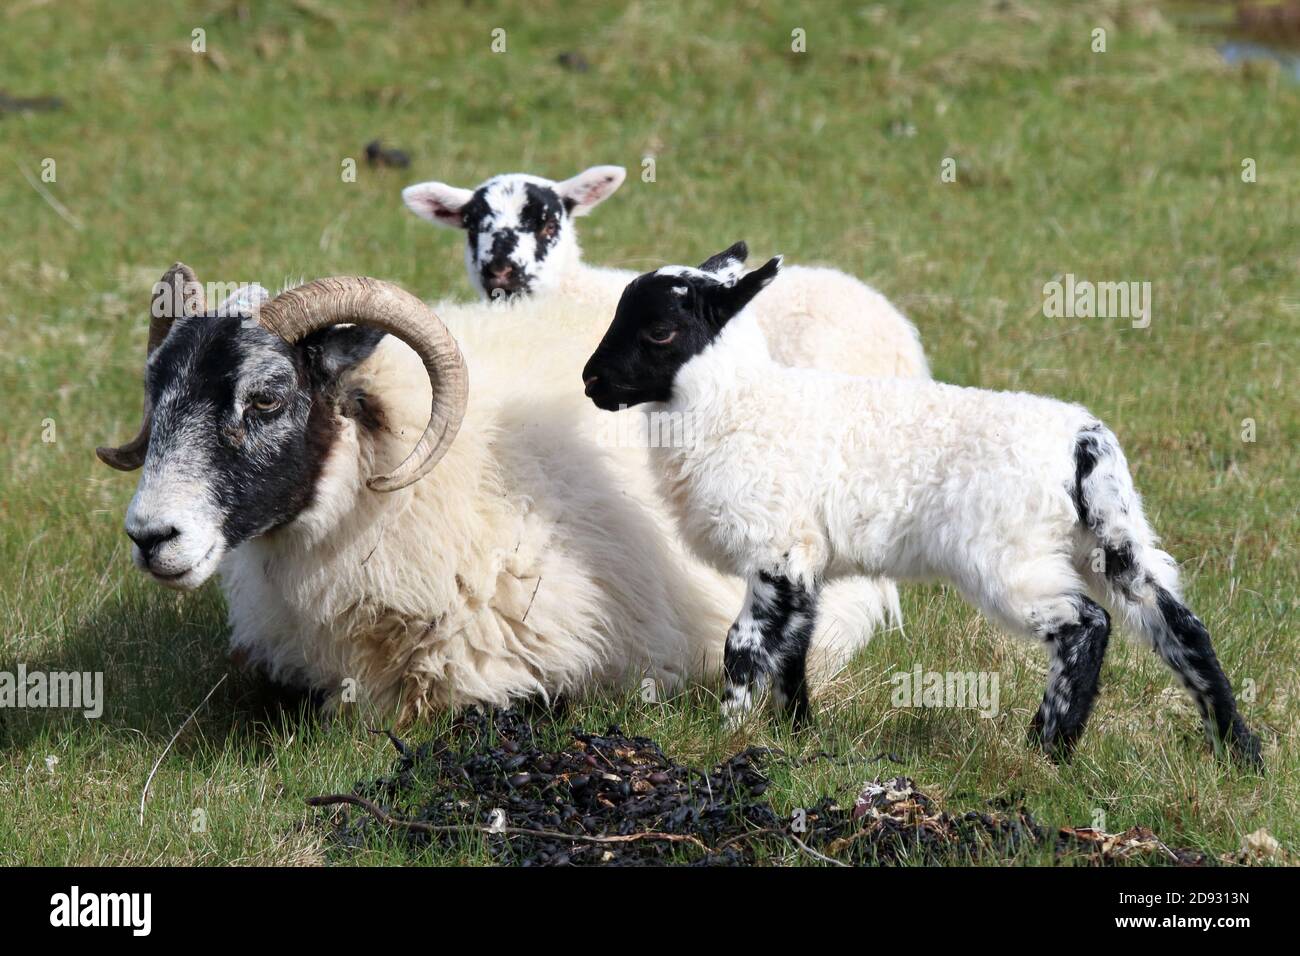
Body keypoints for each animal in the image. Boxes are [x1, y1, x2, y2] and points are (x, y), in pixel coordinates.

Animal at [580, 246, 1263, 768]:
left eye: (660, 331)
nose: (590, 383)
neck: (739, 406)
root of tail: (1083, 444)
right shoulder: (806, 561)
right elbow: (796, 649)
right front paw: (796, 735)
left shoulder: (778, 546)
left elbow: (745, 647)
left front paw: (728, 733)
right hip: (1111, 538)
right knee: (1178, 623)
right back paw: (1237, 752)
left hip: (1009, 556)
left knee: (1087, 624)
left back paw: (1047, 749)